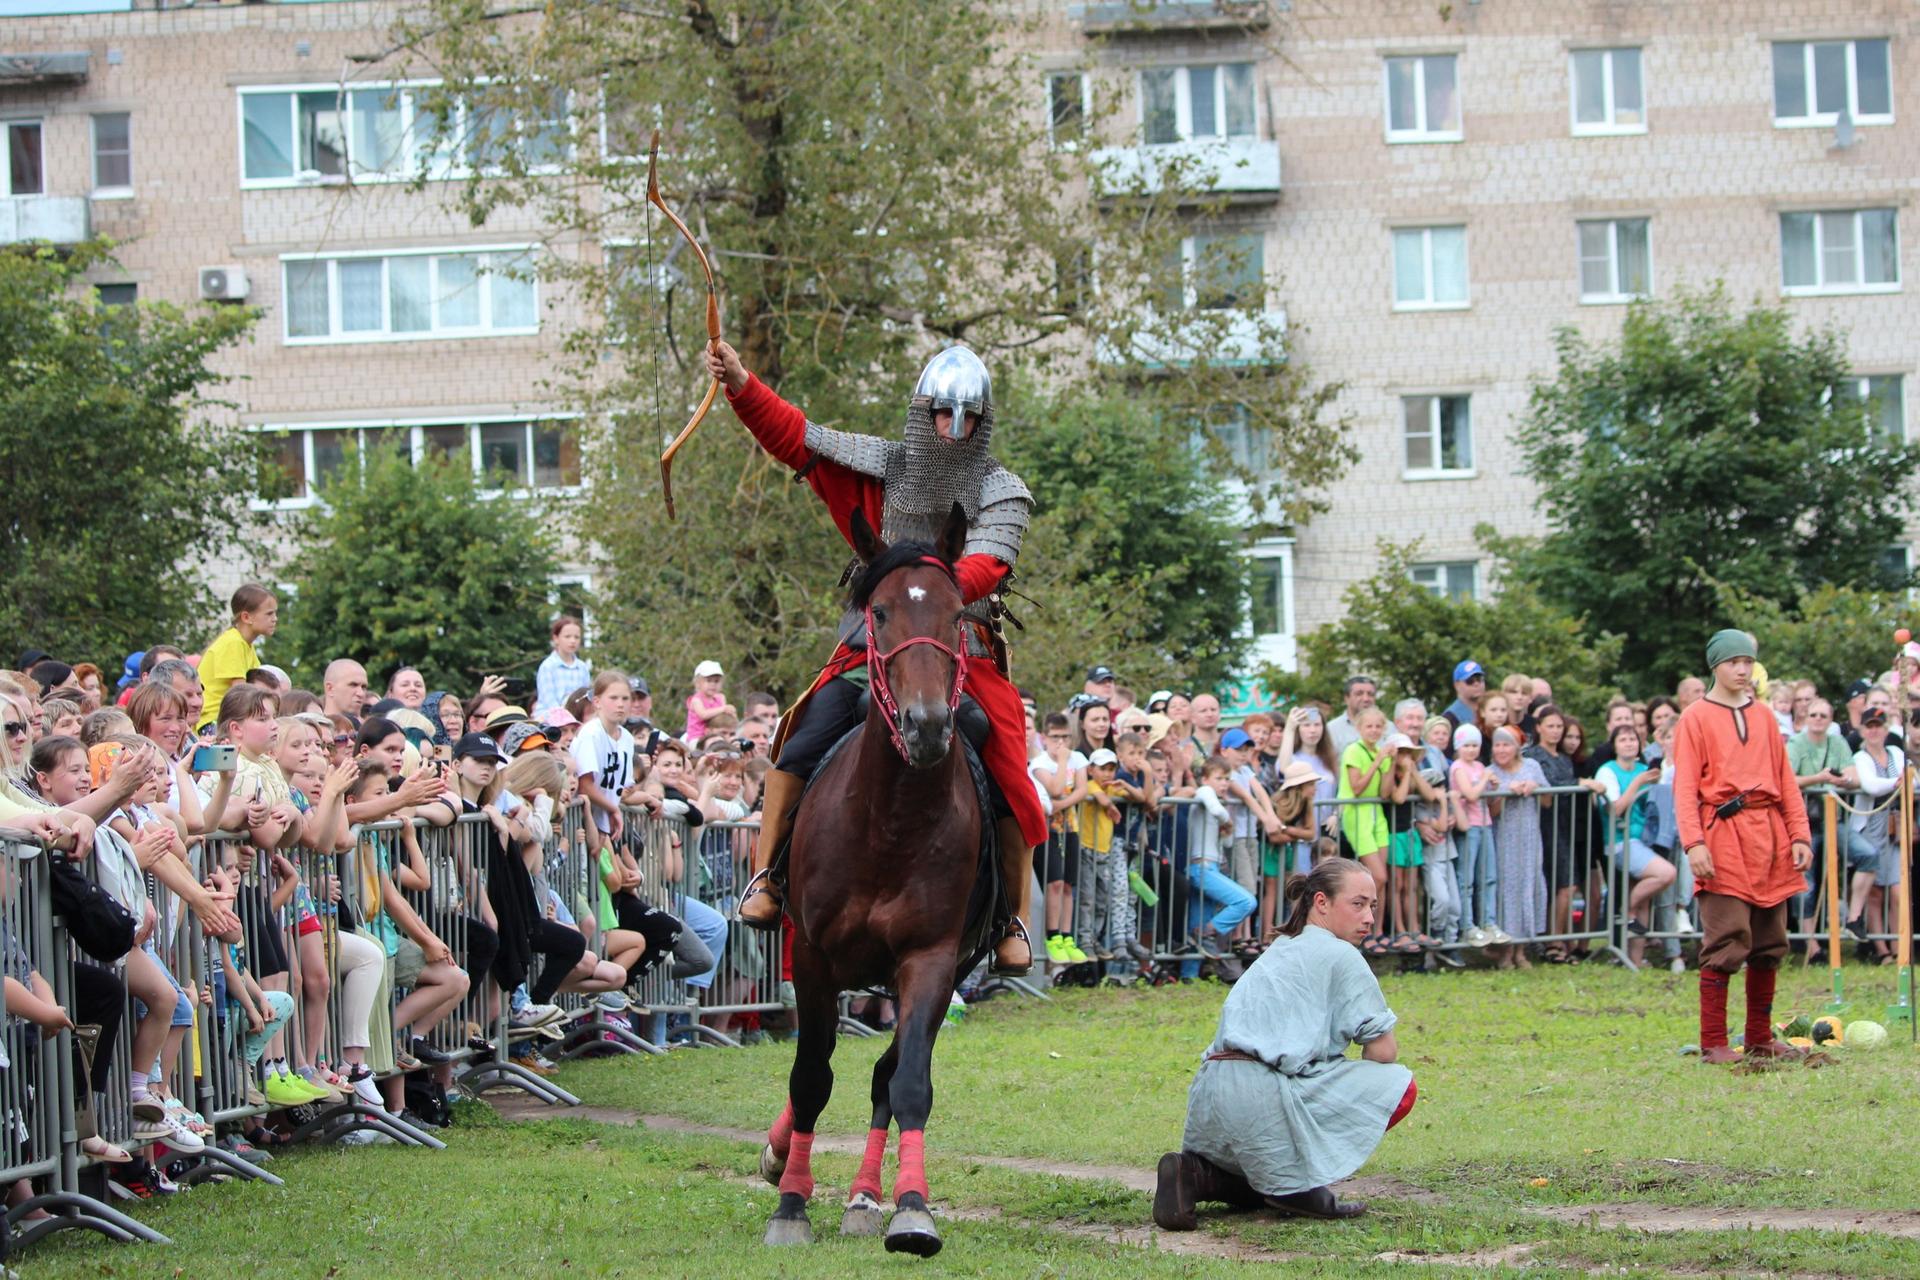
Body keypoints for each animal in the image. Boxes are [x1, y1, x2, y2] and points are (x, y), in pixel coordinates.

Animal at [752, 502, 983, 1258]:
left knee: (886, 1075)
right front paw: (791, 1206)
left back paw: (862, 1196)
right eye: (879, 612)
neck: (891, 823)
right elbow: (810, 1078)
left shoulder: (932, 960)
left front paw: (912, 1208)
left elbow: (907, 1083)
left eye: (957, 614)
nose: (927, 726)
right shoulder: (812, 957)